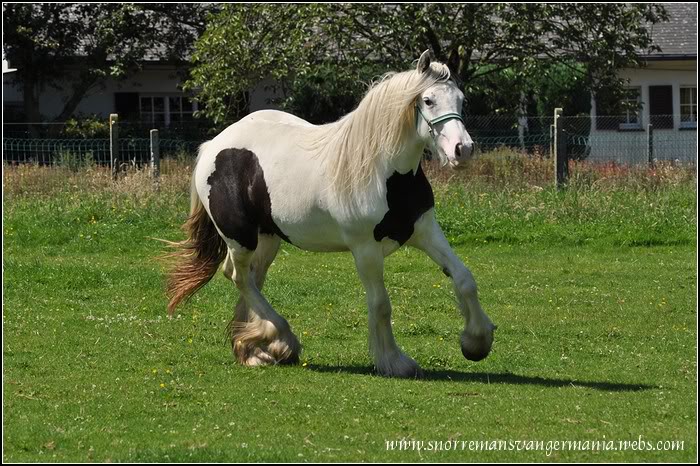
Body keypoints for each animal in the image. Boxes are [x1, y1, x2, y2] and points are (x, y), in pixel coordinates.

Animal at [168, 51, 498, 378]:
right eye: (428, 100)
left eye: (461, 99)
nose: (463, 150)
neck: (382, 171)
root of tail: (213, 146)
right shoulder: (365, 249)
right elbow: (381, 304)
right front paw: (394, 361)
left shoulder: (425, 230)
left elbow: (464, 279)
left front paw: (476, 342)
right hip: (240, 238)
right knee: (239, 276)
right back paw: (281, 340)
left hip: (267, 238)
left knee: (250, 278)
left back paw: (254, 349)